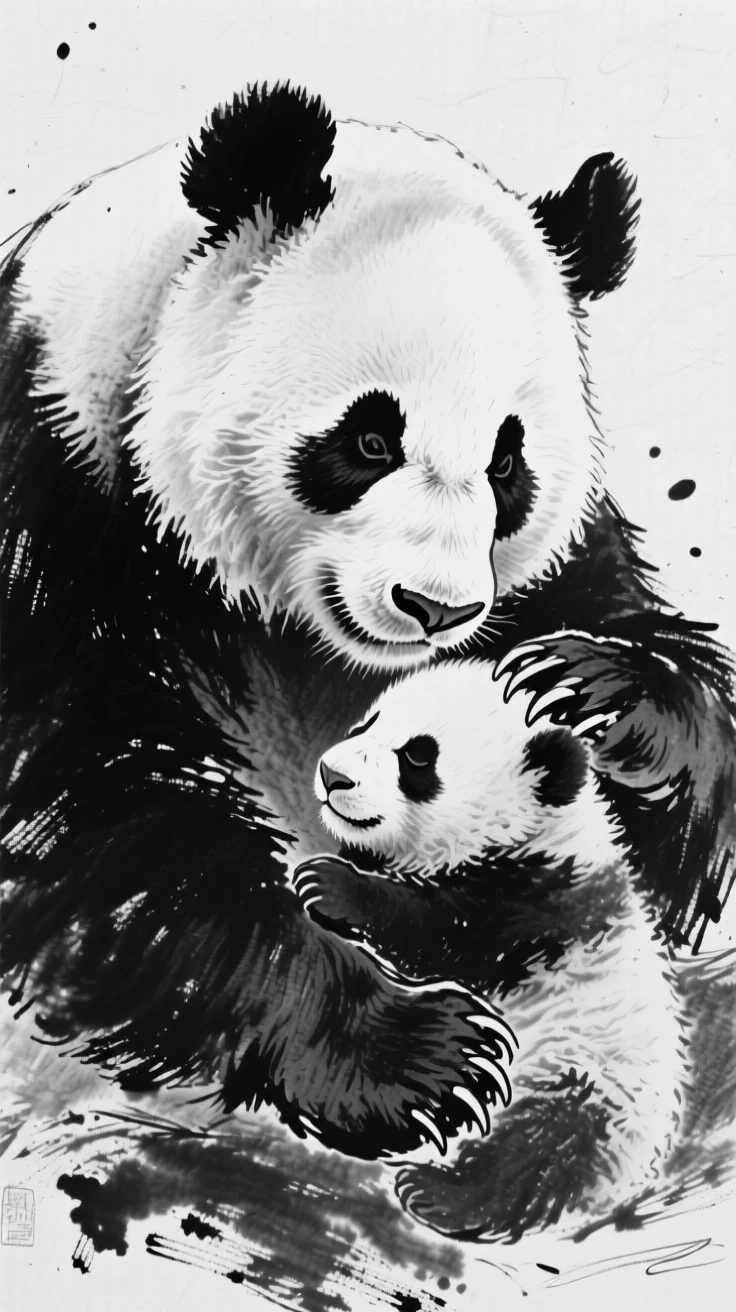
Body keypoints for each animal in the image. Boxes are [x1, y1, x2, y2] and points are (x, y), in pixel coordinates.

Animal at [0, 83, 733, 1163]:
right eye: (370, 438)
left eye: (507, 462)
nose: (438, 608)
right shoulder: (52, 506)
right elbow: (89, 810)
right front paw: (416, 1057)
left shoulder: (550, 576)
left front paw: (605, 697)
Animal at [296, 658, 689, 1239]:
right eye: (365, 724)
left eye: (418, 756)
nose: (332, 775)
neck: (539, 830)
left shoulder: (536, 904)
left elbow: (443, 934)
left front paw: (334, 886)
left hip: (587, 1079)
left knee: (539, 1150)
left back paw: (440, 1193)